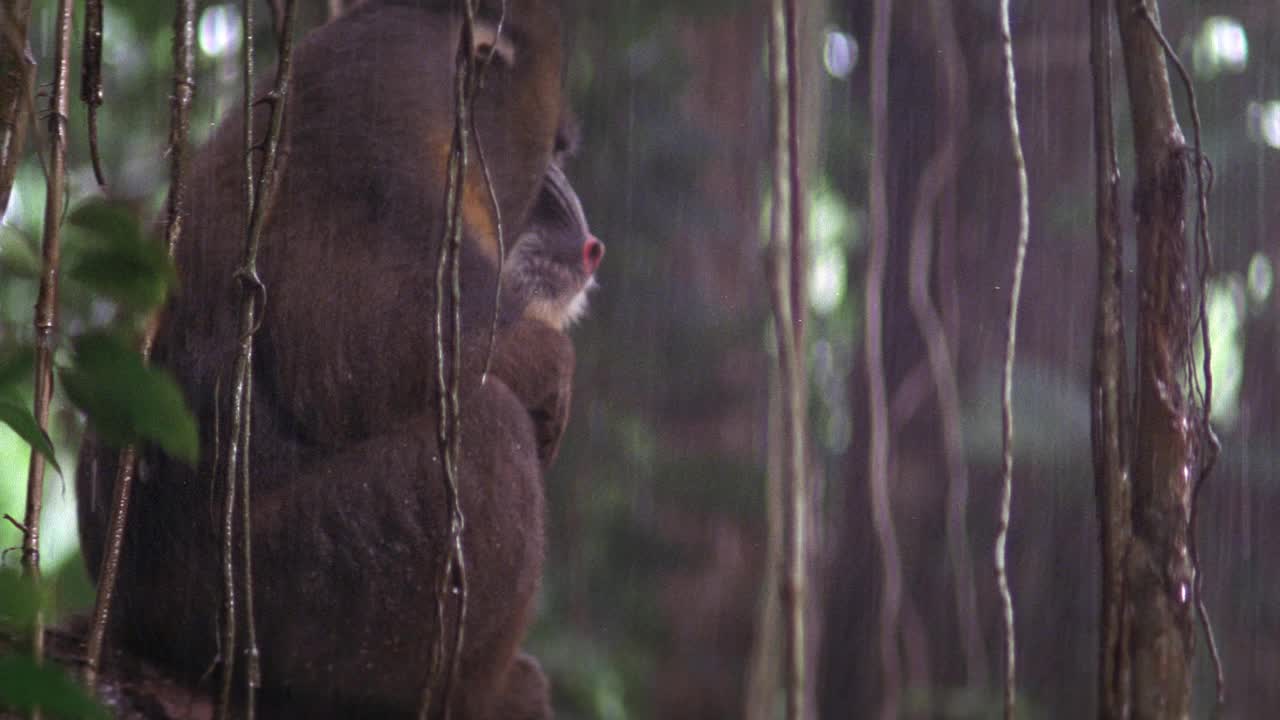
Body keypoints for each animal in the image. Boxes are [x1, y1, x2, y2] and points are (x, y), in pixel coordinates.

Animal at [77, 2, 596, 712]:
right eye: (558, 149)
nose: (591, 243)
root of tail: (130, 618)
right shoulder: (377, 144)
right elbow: (364, 351)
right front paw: (551, 366)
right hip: (289, 584)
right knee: (489, 432)